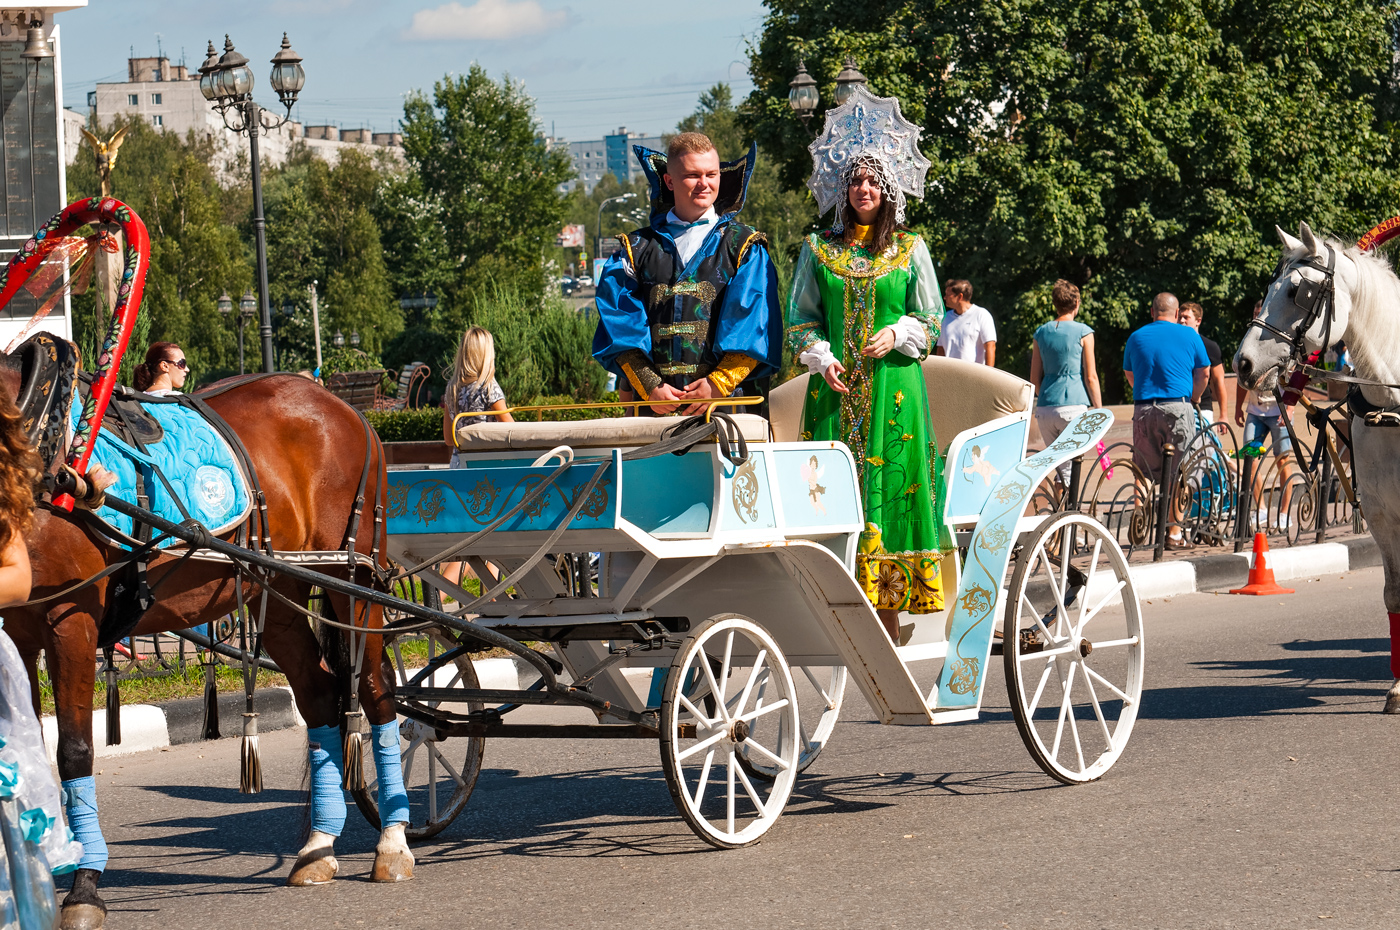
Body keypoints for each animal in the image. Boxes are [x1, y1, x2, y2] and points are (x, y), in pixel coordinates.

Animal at [4, 369, 408, 930]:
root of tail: (344, 408)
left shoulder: (72, 621)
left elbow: (74, 751)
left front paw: (84, 886)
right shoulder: (16, 632)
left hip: (354, 582)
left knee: (375, 690)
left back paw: (393, 842)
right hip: (277, 591)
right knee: (321, 696)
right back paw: (319, 845)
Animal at [1237, 221, 1400, 714]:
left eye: (1298, 291)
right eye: (1269, 287)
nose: (1243, 363)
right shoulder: (1382, 516)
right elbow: (1394, 594)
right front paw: (1396, 688)